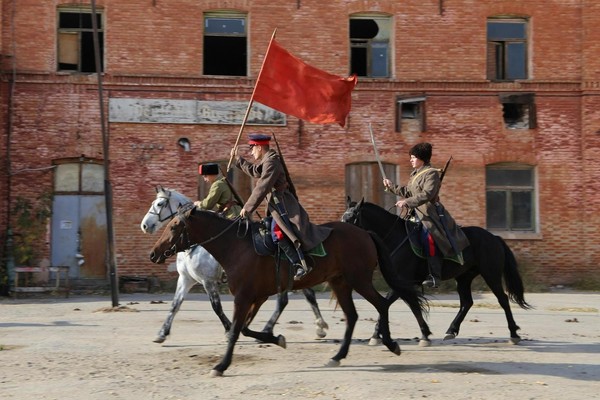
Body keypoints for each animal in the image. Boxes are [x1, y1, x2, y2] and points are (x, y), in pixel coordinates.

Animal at [139, 186, 328, 342]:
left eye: (160, 203)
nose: (144, 226)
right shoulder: (186, 279)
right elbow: (175, 305)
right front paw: (162, 333)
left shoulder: (208, 281)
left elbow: (216, 307)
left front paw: (229, 329)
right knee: (303, 294)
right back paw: (317, 327)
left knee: (290, 298)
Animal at [152, 208, 428, 376]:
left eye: (174, 227)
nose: (153, 253)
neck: (237, 247)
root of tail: (365, 233)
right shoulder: (257, 296)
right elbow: (244, 329)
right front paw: (276, 338)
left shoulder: (243, 297)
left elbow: (235, 331)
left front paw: (221, 365)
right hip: (340, 283)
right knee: (352, 316)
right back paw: (338, 355)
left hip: (359, 280)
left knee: (381, 305)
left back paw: (390, 342)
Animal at [340, 198, 532, 346]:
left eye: (350, 219)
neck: (394, 238)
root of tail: (494, 238)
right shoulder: (403, 284)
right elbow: (409, 305)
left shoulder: (402, 283)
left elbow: (390, 303)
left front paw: (377, 335)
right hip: (464, 278)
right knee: (467, 302)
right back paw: (451, 330)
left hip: (491, 275)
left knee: (503, 300)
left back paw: (514, 334)